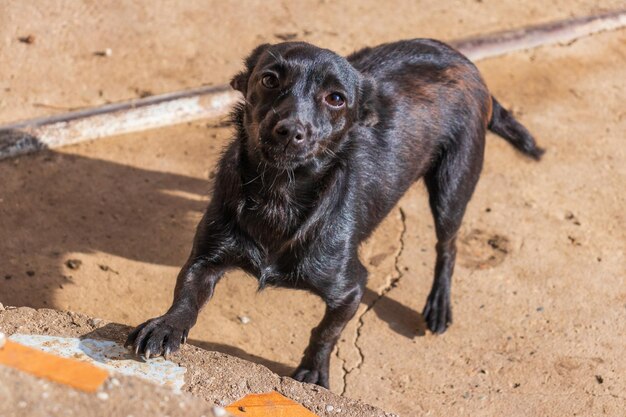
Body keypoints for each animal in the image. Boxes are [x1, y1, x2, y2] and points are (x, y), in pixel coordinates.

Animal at [125, 38, 540, 386]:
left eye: (336, 98)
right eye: (269, 79)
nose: (289, 130)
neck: (280, 195)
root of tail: (464, 59)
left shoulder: (351, 288)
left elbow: (326, 332)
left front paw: (313, 372)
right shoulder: (206, 258)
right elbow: (186, 296)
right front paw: (166, 325)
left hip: (452, 188)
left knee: (448, 246)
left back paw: (438, 305)